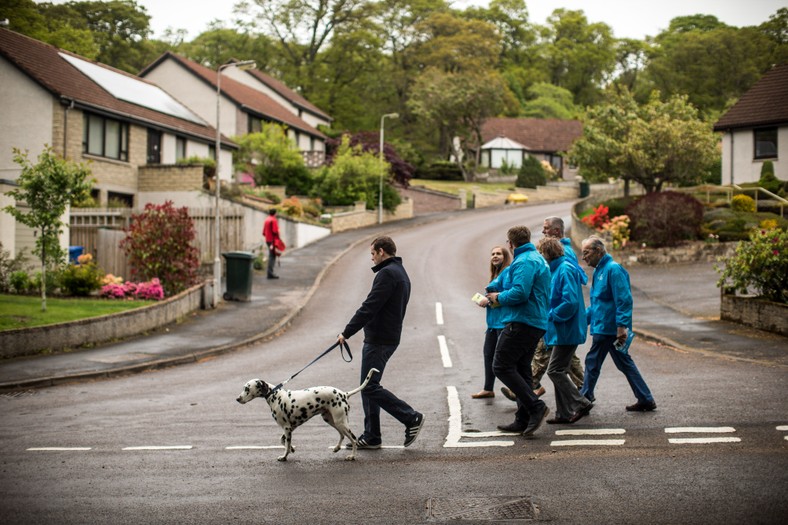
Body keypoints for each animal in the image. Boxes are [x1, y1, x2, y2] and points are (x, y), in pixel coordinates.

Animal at [237, 366, 378, 460]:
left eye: (247, 389)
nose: (237, 399)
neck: (275, 396)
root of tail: (344, 394)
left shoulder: (287, 428)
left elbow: (286, 444)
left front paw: (284, 456)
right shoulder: (290, 428)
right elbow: (284, 441)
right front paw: (292, 449)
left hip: (340, 422)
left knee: (353, 438)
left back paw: (352, 456)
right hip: (331, 420)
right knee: (342, 435)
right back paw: (337, 448)